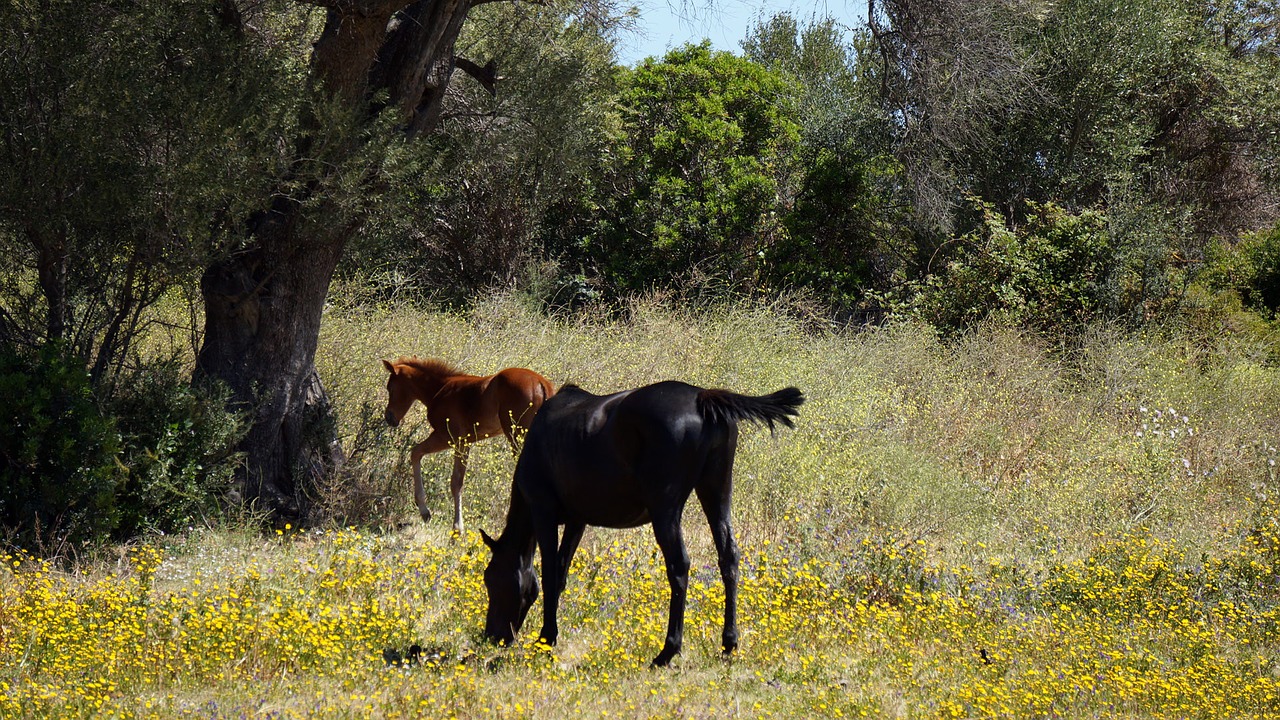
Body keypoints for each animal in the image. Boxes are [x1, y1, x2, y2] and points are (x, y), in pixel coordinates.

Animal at [481, 379, 798, 666]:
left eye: (490, 578)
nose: (492, 636)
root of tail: (702, 398)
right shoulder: (577, 521)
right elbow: (560, 573)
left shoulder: (543, 511)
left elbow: (548, 574)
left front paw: (545, 639)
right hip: (716, 491)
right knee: (728, 557)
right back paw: (729, 643)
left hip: (665, 508)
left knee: (679, 566)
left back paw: (667, 651)